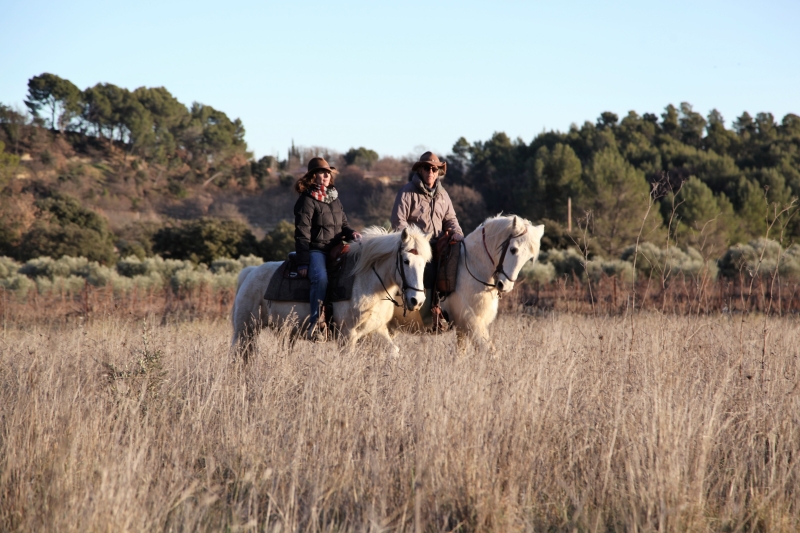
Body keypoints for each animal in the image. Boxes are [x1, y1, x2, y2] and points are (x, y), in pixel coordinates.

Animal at [231, 227, 432, 360]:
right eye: (406, 261)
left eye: (425, 263)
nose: (417, 300)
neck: (366, 282)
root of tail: (250, 272)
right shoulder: (347, 336)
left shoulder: (376, 330)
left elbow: (393, 351)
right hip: (245, 329)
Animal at [392, 214, 544, 352]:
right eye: (513, 249)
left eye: (529, 257)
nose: (505, 286)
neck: (473, 267)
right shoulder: (472, 323)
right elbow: (490, 352)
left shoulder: (462, 328)